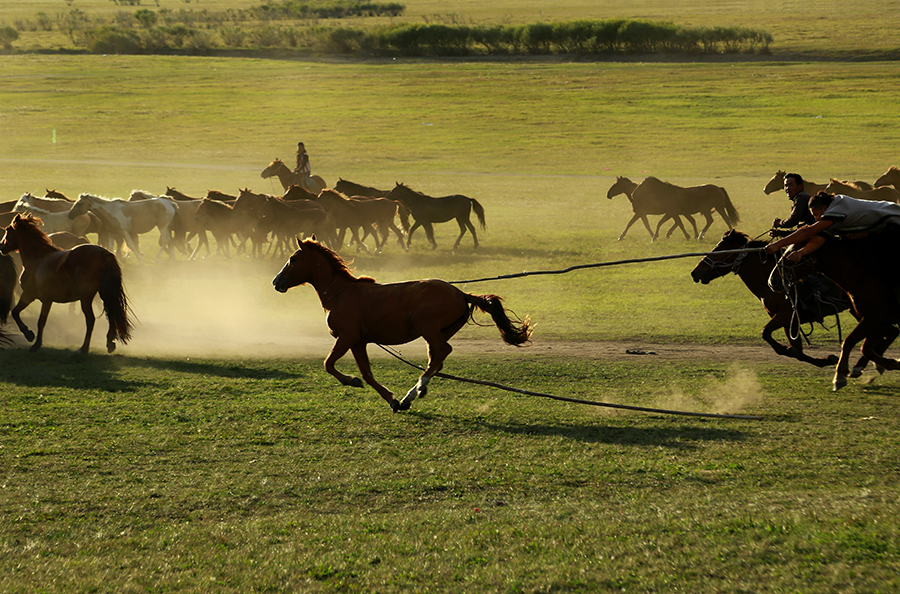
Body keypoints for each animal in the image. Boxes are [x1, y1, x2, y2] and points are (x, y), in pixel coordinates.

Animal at [0, 213, 134, 352]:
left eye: (7, 230)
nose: (1, 247)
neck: (37, 258)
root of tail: (104, 253)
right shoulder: (47, 300)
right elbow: (40, 321)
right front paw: (35, 341)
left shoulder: (29, 295)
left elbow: (18, 313)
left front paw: (30, 337)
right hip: (105, 294)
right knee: (111, 315)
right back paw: (109, 343)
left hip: (86, 298)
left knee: (90, 320)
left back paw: (83, 349)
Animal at [270, 236, 532, 412]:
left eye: (293, 259)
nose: (276, 282)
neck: (341, 294)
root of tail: (460, 293)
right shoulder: (359, 342)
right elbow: (367, 373)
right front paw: (391, 399)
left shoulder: (347, 337)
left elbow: (329, 364)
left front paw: (351, 381)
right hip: (440, 331)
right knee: (436, 357)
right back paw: (416, 392)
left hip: (426, 326)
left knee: (442, 352)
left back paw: (415, 391)